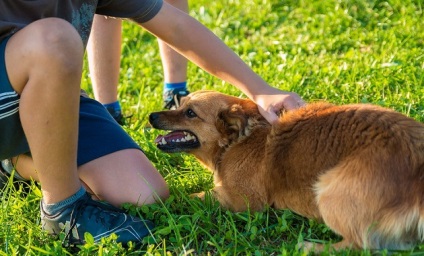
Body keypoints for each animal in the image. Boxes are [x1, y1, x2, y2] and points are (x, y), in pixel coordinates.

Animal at [150, 90, 424, 252]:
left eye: (190, 113)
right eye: (180, 104)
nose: (151, 116)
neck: (238, 139)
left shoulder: (241, 201)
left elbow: (190, 196)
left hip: (328, 190)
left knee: (360, 245)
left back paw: (311, 247)